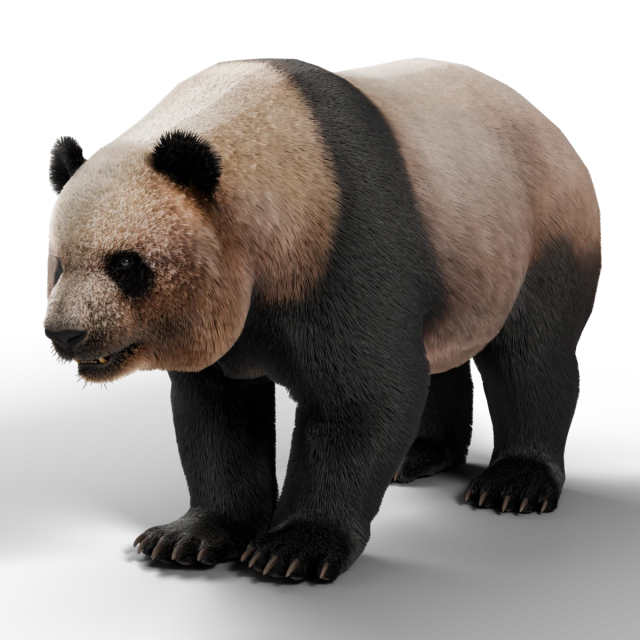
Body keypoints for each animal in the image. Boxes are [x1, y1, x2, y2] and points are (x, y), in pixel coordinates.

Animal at [44, 57, 601, 580]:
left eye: (126, 265)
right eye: (59, 265)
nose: (66, 334)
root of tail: (542, 117)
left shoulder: (342, 235)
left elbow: (362, 397)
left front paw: (296, 547)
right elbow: (218, 412)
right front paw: (190, 535)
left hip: (536, 223)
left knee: (532, 352)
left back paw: (515, 482)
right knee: (437, 355)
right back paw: (422, 453)